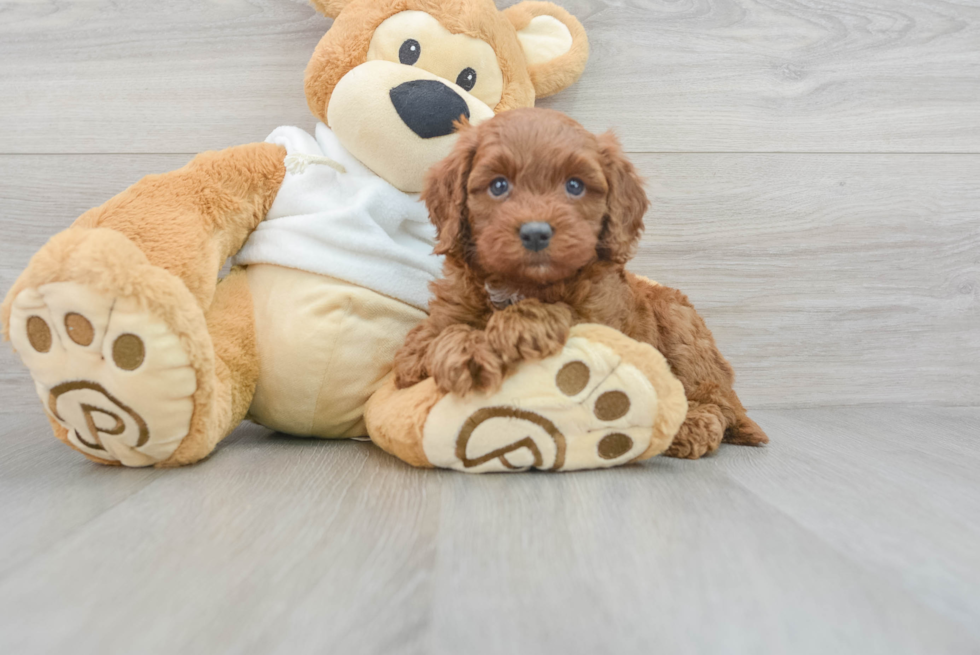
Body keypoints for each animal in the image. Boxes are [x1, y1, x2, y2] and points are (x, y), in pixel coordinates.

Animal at [394, 107, 768, 462]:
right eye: (498, 185)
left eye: (574, 185)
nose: (536, 233)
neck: (521, 284)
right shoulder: (442, 319)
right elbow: (425, 345)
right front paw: (462, 350)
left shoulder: (603, 321)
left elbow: (559, 313)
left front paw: (512, 328)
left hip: (680, 323)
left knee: (715, 403)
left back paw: (689, 426)